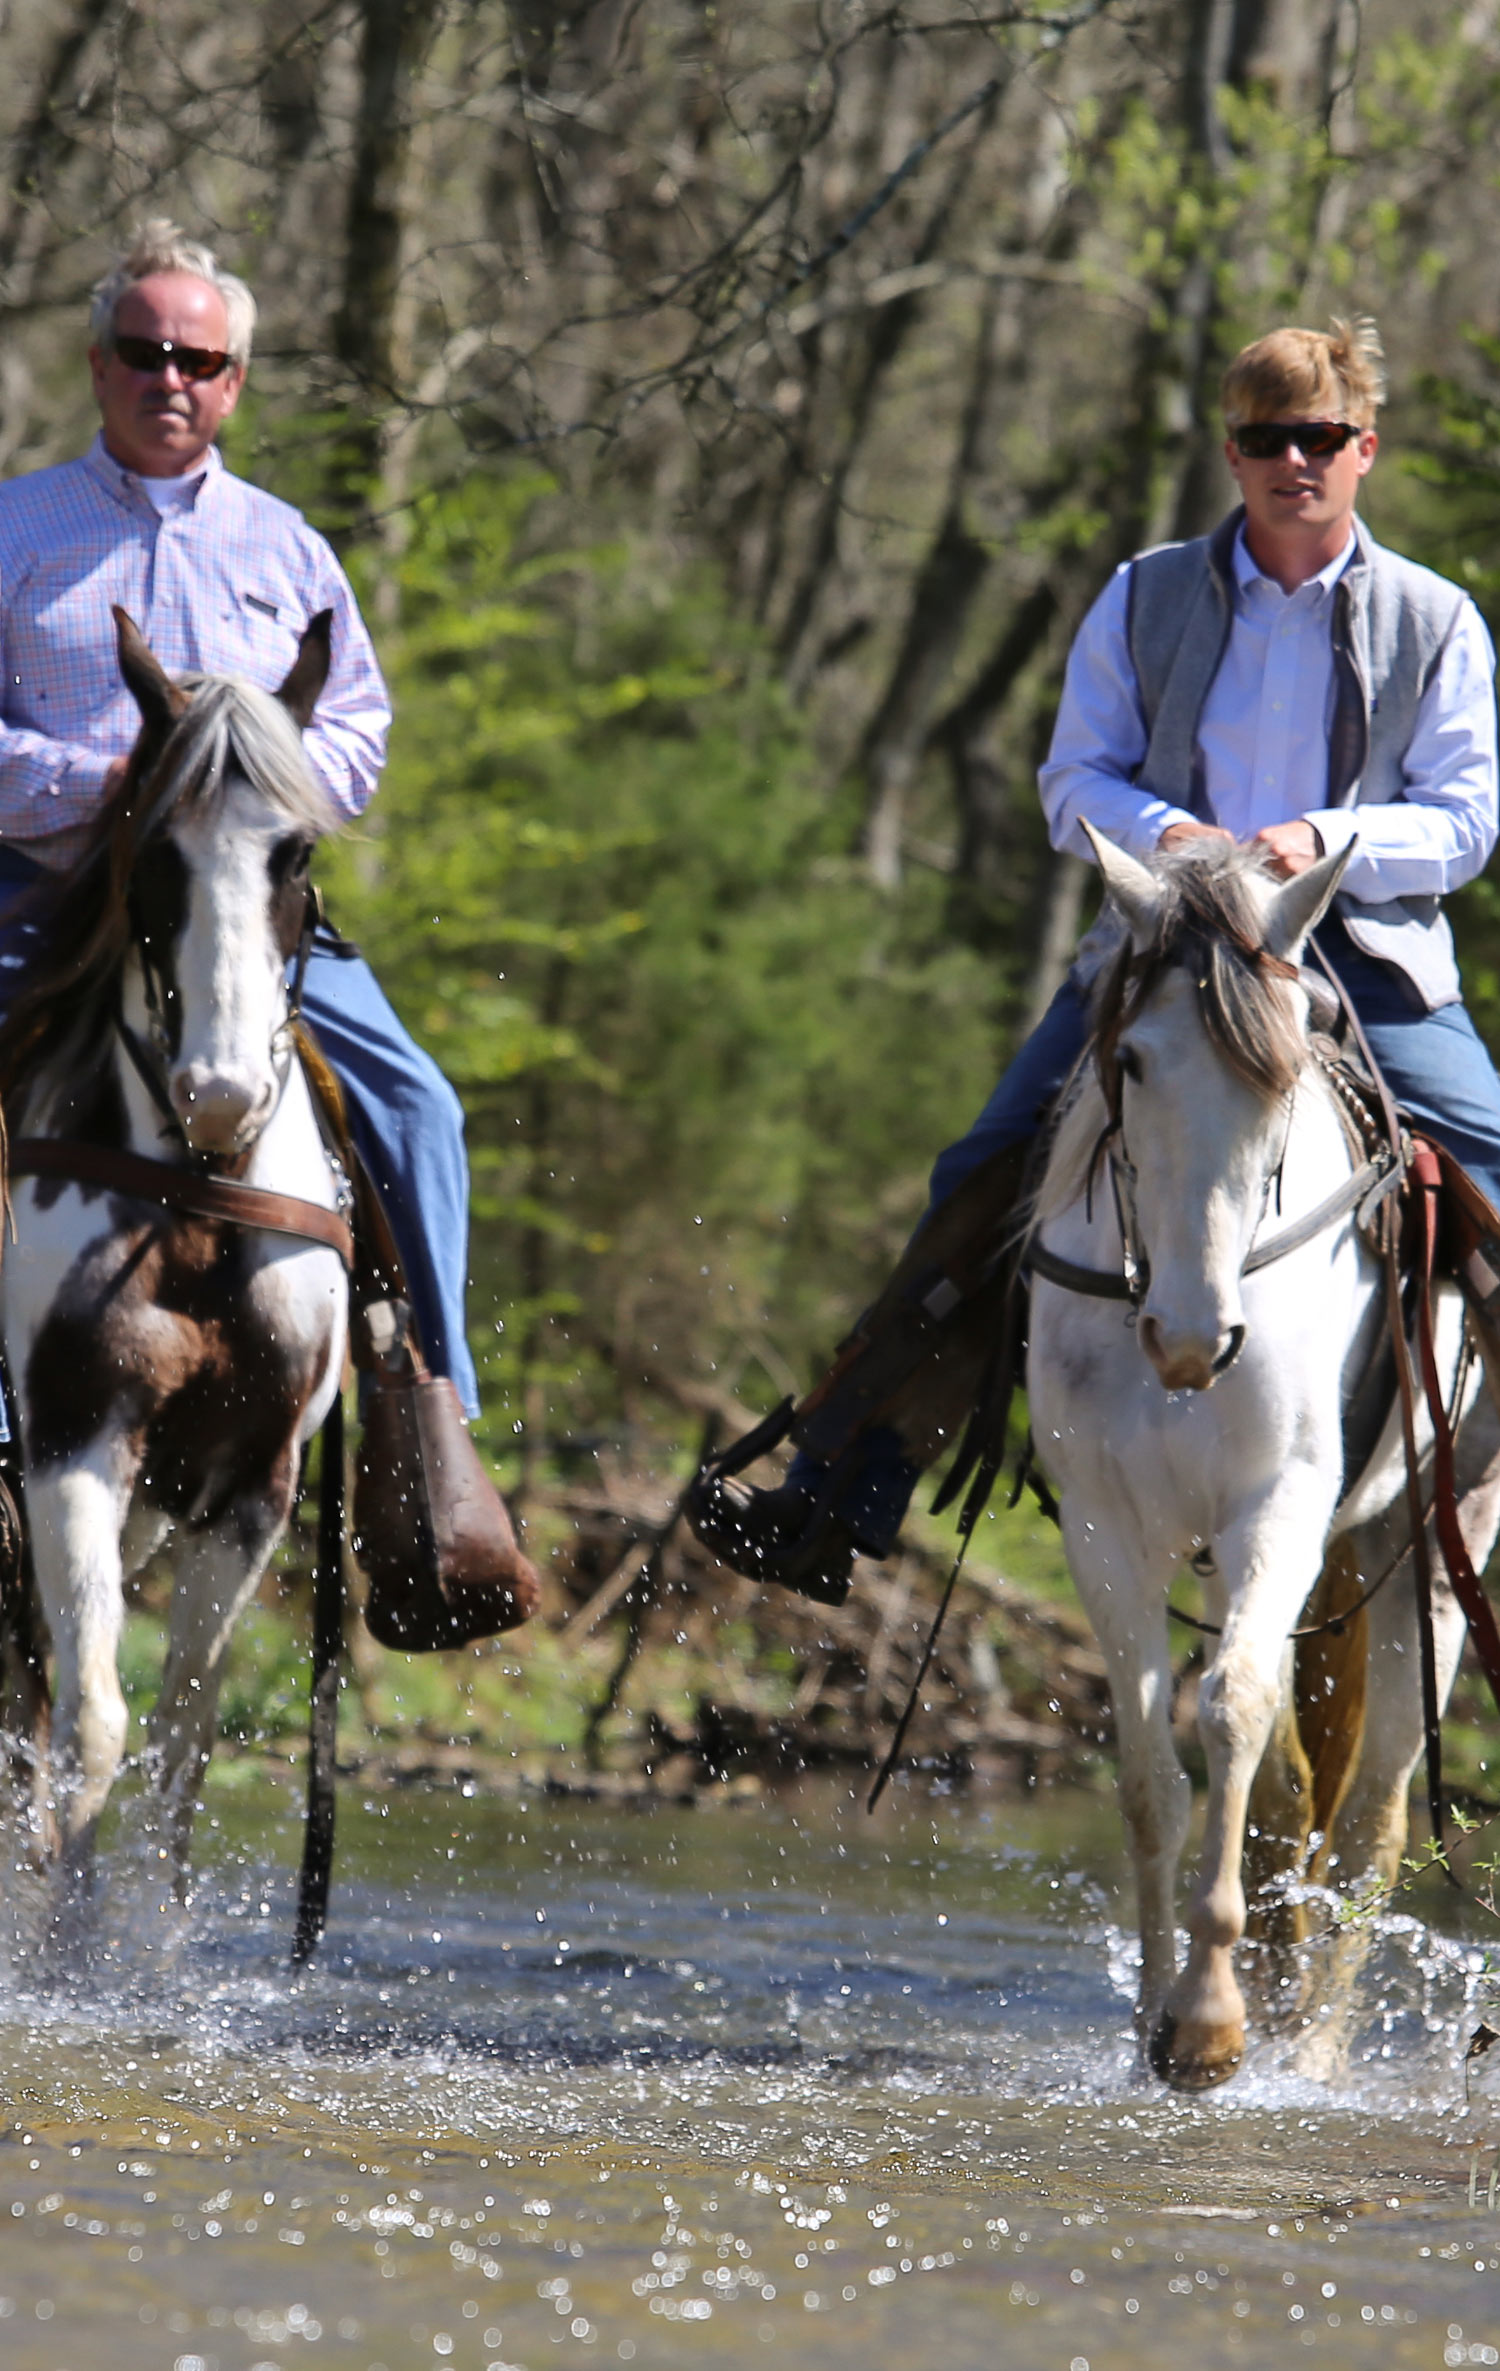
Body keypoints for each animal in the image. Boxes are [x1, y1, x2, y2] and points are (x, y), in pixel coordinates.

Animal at [0, 616, 348, 1925]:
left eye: (296, 850)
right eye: (157, 849)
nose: (220, 1092)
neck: (198, 1195)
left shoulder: (252, 1486)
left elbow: (182, 1752)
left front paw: (148, 1952)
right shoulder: (72, 1442)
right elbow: (92, 1731)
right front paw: (67, 1950)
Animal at [1028, 825, 1497, 2086]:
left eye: (1282, 1075)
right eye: (1132, 1061)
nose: (1192, 1340)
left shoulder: (1276, 1507)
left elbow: (1230, 1711)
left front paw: (1208, 2023)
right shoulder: (1103, 1525)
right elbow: (1152, 1771)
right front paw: (1160, 2012)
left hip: (1433, 1550)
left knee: (1374, 1811)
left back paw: (1313, 2048)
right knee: (1295, 1794)